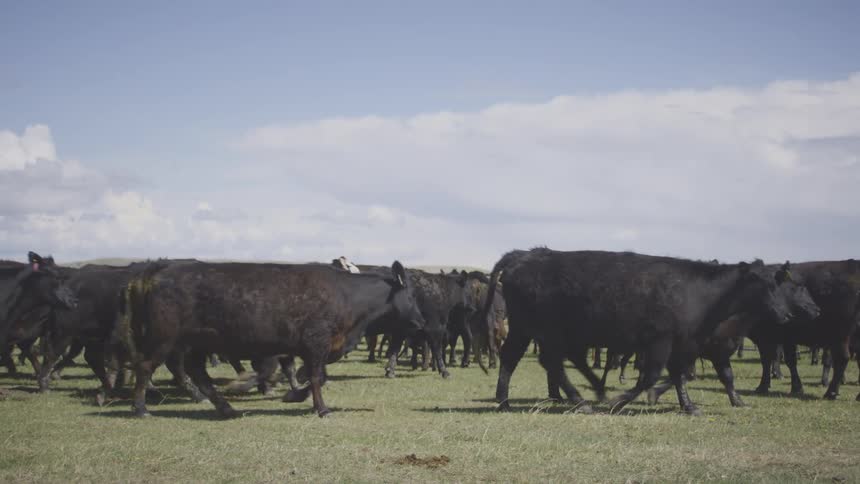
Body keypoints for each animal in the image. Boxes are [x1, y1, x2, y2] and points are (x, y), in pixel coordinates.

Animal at [119, 260, 425, 418]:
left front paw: (293, 395)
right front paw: (322, 409)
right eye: (411, 296)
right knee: (145, 367)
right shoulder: (316, 343)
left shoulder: (312, 349)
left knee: (197, 372)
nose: (421, 322)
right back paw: (141, 408)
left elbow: (314, 377)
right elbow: (316, 378)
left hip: (196, 343)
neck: (346, 295)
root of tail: (157, 271)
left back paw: (226, 407)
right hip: (164, 339)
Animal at [473, 249, 820, 415]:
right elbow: (651, 376)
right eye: (765, 285)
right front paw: (619, 402)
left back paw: (512, 400)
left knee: (526, 360)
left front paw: (689, 406)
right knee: (540, 362)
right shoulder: (660, 341)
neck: (698, 293)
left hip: (532, 330)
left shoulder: (683, 343)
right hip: (540, 329)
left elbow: (680, 375)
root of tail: (526, 254)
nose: (786, 314)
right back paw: (577, 400)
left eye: (781, 285)